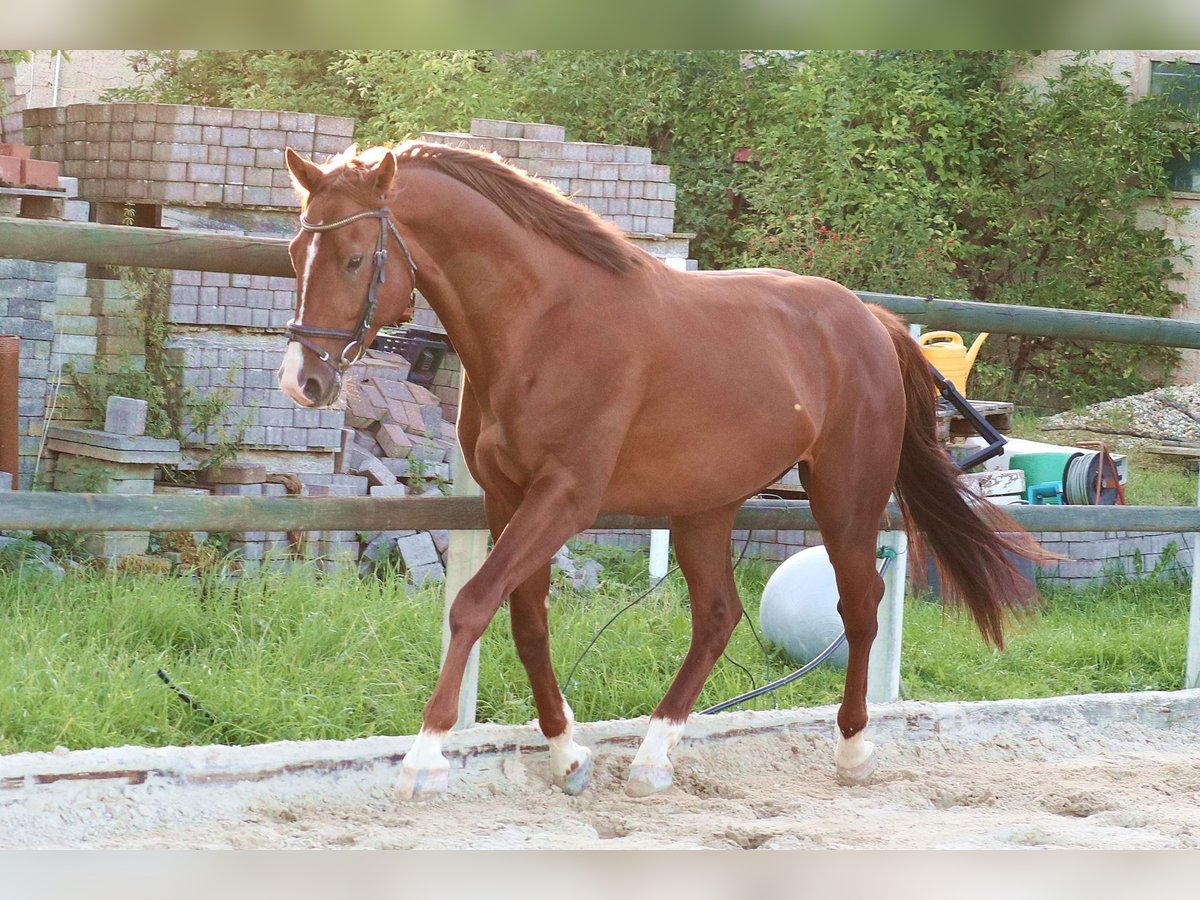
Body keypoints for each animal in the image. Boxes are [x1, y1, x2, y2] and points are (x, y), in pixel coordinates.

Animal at [276, 142, 1036, 801]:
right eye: (293, 253)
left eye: (352, 259)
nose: (302, 381)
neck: (541, 325)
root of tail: (873, 322)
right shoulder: (507, 497)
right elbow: (526, 623)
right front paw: (568, 756)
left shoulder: (565, 498)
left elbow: (472, 604)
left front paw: (424, 759)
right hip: (708, 507)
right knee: (719, 616)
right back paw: (652, 756)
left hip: (845, 495)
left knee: (860, 606)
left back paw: (851, 750)